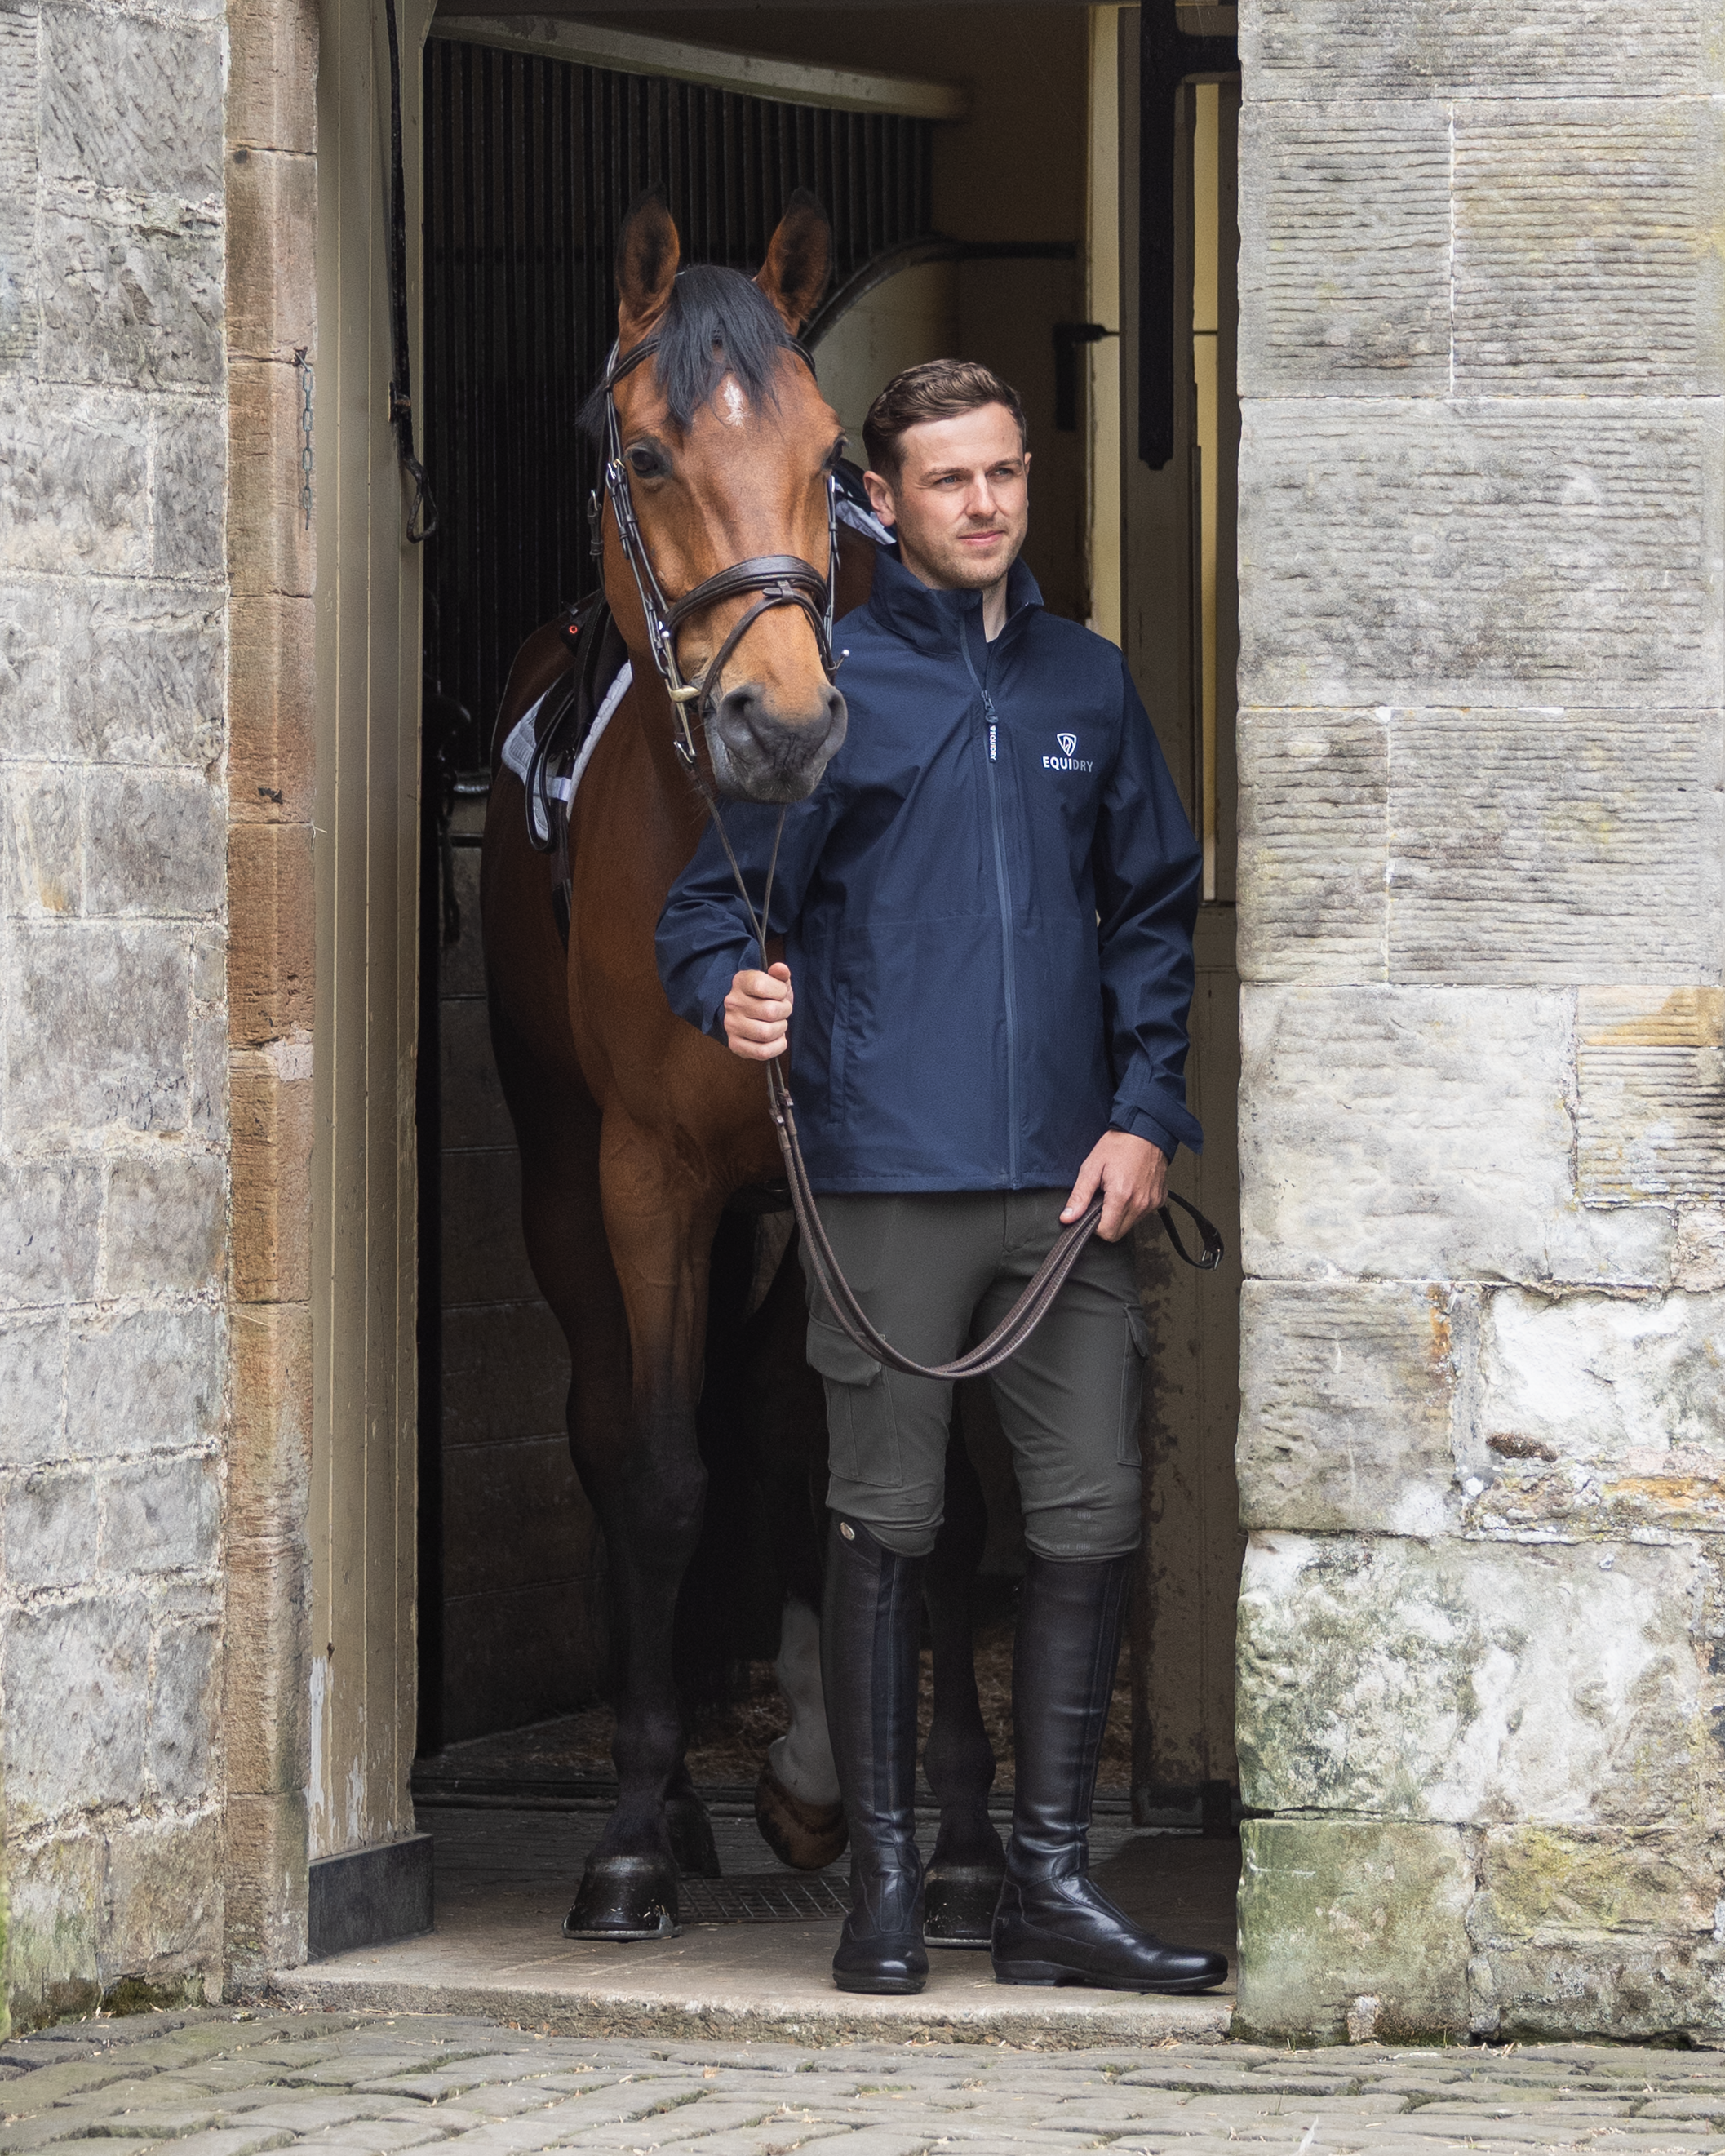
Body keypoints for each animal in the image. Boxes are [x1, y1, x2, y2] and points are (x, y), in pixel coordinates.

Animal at [481, 188, 1007, 1942]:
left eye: (822, 446)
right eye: (643, 453)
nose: (781, 724)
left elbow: (913, 1473)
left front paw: (955, 1837)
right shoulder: (647, 1174)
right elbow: (659, 1472)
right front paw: (635, 1839)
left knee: (797, 1419)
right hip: (567, 1167)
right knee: (610, 1425)